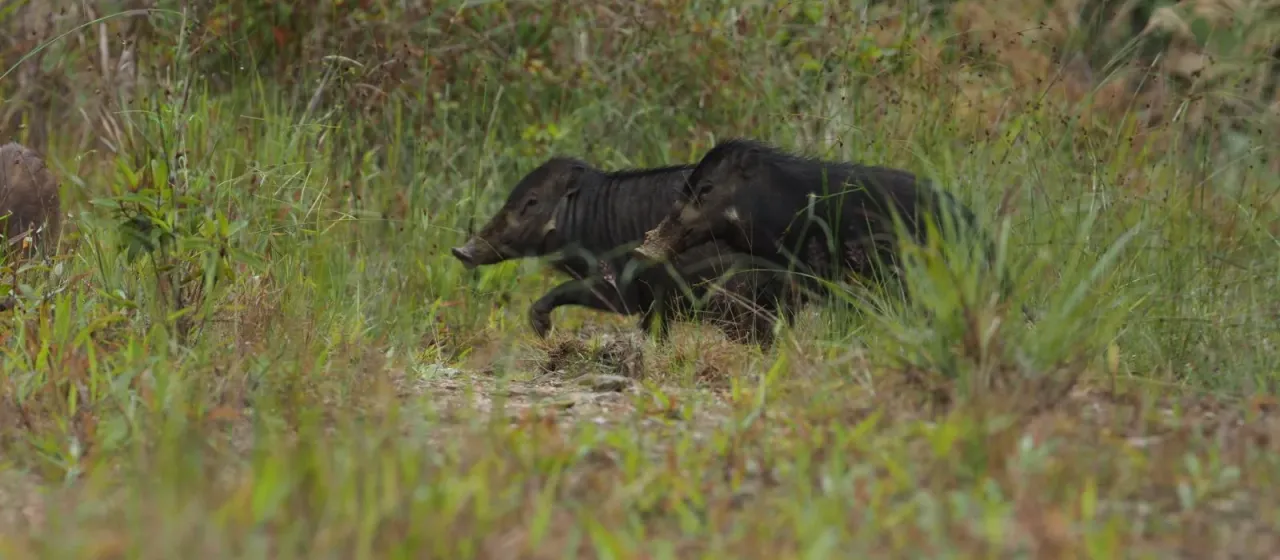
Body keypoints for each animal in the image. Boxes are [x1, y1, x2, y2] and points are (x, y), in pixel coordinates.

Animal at [449, 156, 807, 346]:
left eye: (532, 201)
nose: (460, 251)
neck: (584, 218)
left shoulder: (621, 287)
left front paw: (543, 328)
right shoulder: (653, 300)